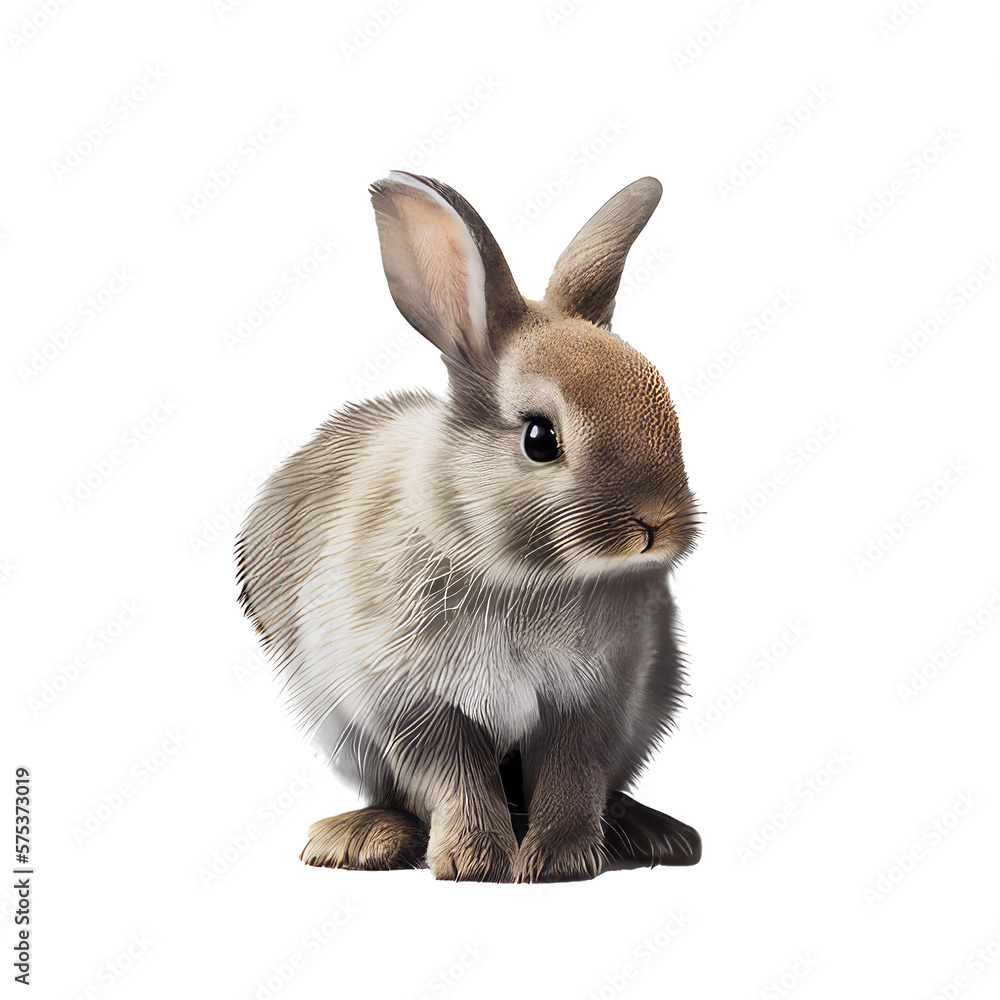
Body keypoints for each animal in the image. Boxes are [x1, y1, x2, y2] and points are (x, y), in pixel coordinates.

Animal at [236, 171, 702, 882]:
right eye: (540, 438)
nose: (659, 524)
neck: (521, 575)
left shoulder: (593, 702)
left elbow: (571, 775)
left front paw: (559, 861)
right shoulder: (410, 701)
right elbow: (455, 775)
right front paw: (474, 862)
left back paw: (654, 835)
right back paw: (359, 839)